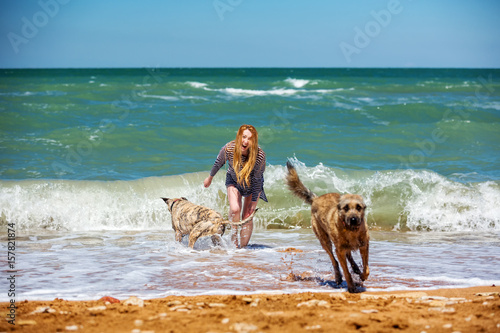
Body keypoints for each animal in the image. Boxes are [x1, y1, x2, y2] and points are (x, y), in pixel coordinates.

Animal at [284, 161, 370, 294]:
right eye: (346, 208)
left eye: (358, 207)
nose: (354, 219)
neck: (351, 231)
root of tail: (316, 198)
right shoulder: (339, 250)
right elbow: (346, 271)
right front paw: (351, 286)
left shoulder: (364, 245)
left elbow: (366, 268)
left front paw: (362, 275)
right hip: (325, 241)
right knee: (334, 260)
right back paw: (338, 277)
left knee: (348, 256)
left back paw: (355, 268)